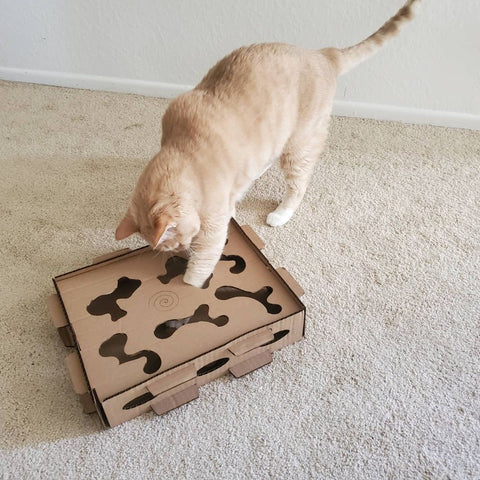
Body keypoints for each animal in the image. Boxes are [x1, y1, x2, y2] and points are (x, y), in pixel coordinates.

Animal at [115, 0, 420, 286]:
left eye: (177, 242)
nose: (183, 248)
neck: (182, 154)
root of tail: (323, 54)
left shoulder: (215, 225)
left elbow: (201, 265)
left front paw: (191, 285)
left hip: (298, 148)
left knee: (298, 187)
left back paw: (280, 214)